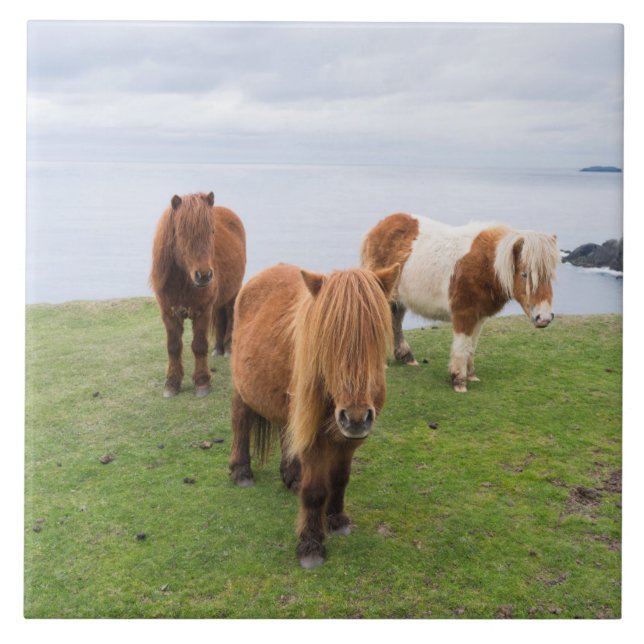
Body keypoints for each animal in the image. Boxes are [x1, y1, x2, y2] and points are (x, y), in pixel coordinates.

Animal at [150, 192, 246, 397]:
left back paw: (227, 348)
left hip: (233, 293)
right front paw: (172, 383)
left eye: (212, 231)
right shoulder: (169, 313)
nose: (204, 275)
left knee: (230, 315)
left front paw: (202, 382)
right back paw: (218, 348)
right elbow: (173, 347)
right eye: (181, 233)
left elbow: (199, 346)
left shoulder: (202, 312)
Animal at [228, 262, 400, 568]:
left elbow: (340, 479)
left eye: (375, 335)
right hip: (241, 391)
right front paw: (310, 545)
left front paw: (337, 519)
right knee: (240, 424)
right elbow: (316, 491)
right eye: (328, 341)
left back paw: (291, 477)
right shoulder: (316, 440)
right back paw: (241, 472)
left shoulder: (349, 441)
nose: (356, 417)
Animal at [361, 213, 559, 392]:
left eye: (549, 276)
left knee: (395, 320)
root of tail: (377, 228)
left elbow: (471, 345)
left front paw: (470, 374)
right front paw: (458, 380)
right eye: (525, 274)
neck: (487, 264)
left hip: (398, 299)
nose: (544, 318)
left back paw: (406, 356)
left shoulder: (479, 316)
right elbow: (462, 345)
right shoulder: (464, 313)